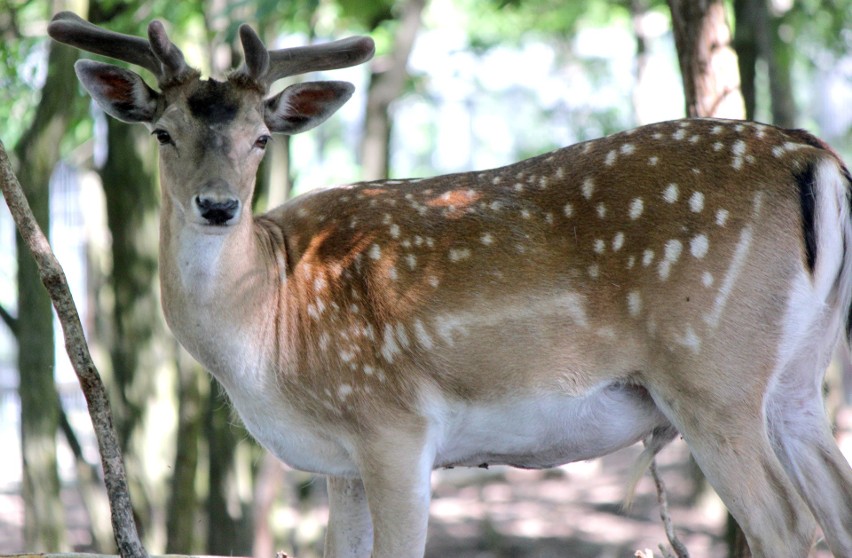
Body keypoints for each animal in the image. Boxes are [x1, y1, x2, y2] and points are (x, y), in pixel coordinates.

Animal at [48, 9, 852, 558]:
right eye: (163, 132)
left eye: (261, 139)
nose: (217, 206)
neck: (272, 328)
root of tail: (815, 158)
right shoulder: (341, 464)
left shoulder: (393, 424)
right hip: (797, 376)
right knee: (836, 507)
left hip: (710, 372)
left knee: (785, 524)